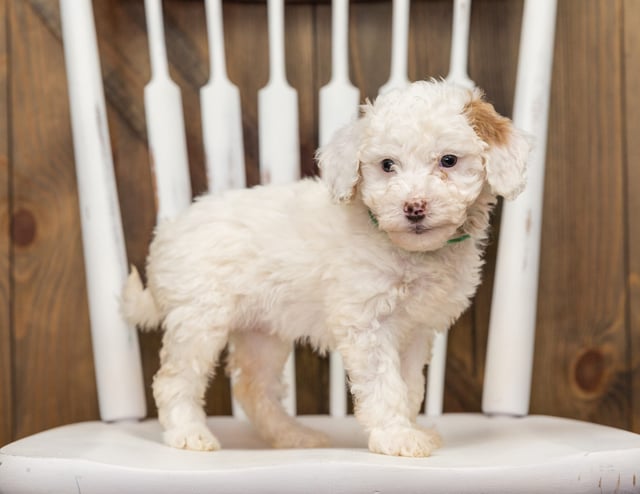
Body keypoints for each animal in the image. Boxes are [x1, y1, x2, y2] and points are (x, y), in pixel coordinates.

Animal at [121, 79, 528, 458]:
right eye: (387, 165)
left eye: (448, 161)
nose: (414, 208)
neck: (409, 251)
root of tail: (167, 233)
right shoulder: (366, 323)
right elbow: (385, 385)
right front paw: (396, 436)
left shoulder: (416, 332)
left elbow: (411, 386)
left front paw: (410, 428)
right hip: (198, 322)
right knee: (174, 380)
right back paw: (189, 434)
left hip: (261, 333)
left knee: (255, 389)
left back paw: (292, 436)